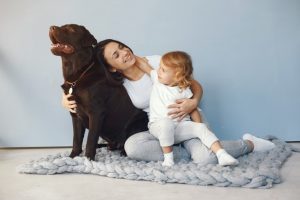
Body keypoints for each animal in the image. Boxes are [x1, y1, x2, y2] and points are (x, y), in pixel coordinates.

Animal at [49, 24, 148, 160]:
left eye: (72, 29)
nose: (51, 27)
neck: (77, 76)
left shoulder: (96, 112)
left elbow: (90, 140)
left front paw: (88, 160)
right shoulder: (74, 114)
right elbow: (76, 139)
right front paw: (72, 157)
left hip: (135, 125)